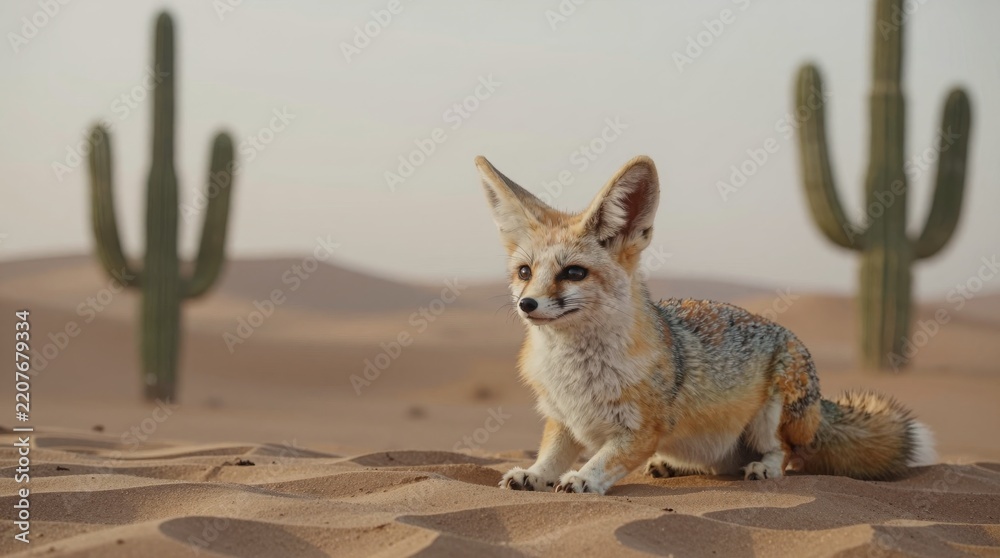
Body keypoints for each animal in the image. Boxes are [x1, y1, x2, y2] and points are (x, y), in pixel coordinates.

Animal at [475, 154, 936, 495]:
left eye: (573, 273)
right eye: (524, 272)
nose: (527, 304)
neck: (576, 371)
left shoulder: (641, 430)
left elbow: (605, 459)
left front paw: (585, 478)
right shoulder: (561, 418)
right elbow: (551, 453)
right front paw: (535, 474)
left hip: (774, 413)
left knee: (787, 454)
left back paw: (763, 468)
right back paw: (673, 466)